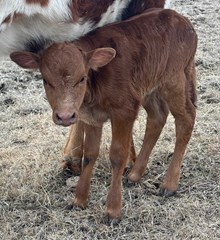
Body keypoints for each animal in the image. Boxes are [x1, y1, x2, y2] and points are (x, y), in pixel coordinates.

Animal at [9, 8, 198, 224]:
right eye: (45, 80)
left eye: (82, 78)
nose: (65, 116)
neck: (93, 90)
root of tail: (181, 19)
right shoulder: (91, 117)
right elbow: (89, 154)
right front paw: (79, 200)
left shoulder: (124, 111)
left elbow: (117, 156)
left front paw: (112, 210)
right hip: (149, 87)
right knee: (157, 117)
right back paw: (135, 174)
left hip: (174, 81)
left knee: (186, 118)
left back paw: (169, 184)